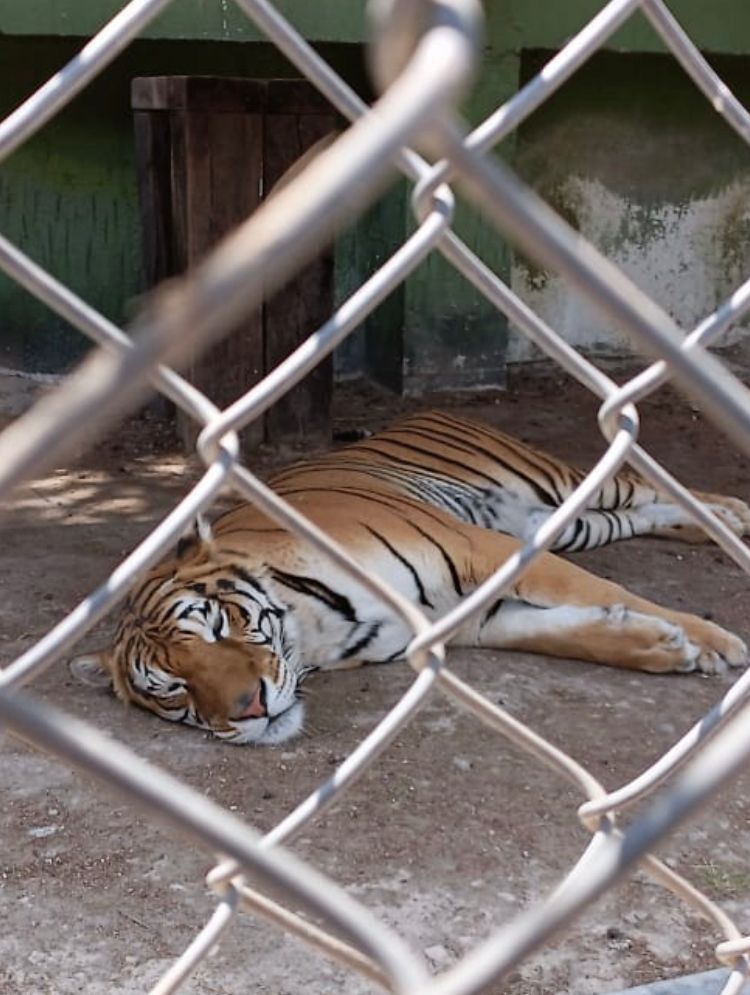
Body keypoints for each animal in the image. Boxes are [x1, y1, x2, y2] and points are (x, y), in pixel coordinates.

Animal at [72, 408, 750, 744]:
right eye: (173, 689)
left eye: (215, 627)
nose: (250, 710)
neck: (314, 633)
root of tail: (422, 412)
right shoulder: (474, 618)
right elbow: (570, 633)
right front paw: (663, 647)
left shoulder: (483, 551)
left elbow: (602, 592)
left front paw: (715, 643)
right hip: (570, 521)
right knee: (645, 513)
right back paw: (724, 523)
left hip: (558, 483)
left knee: (649, 482)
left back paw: (732, 513)